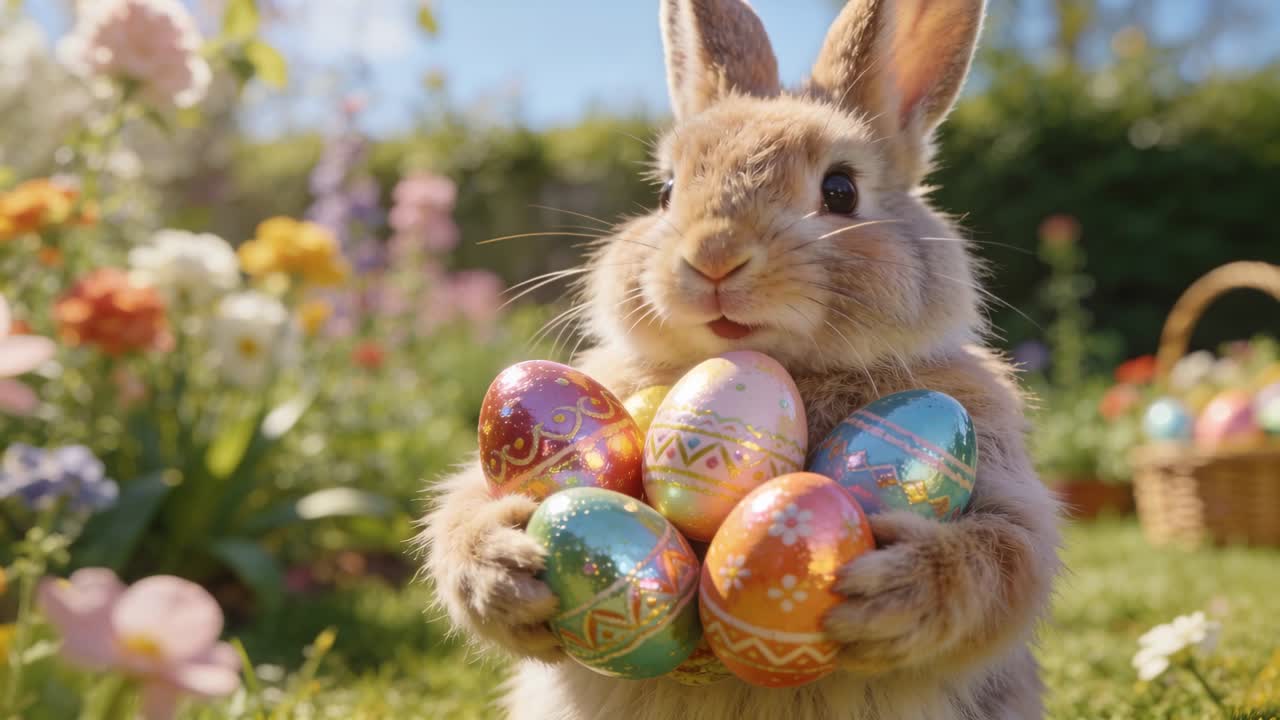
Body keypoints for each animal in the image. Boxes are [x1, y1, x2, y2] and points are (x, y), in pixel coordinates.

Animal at [420, 1, 1062, 718]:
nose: (714, 256)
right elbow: (459, 515)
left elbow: (1003, 558)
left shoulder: (1000, 474)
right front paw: (503, 569)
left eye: (841, 190)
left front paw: (887, 591)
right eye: (667, 191)